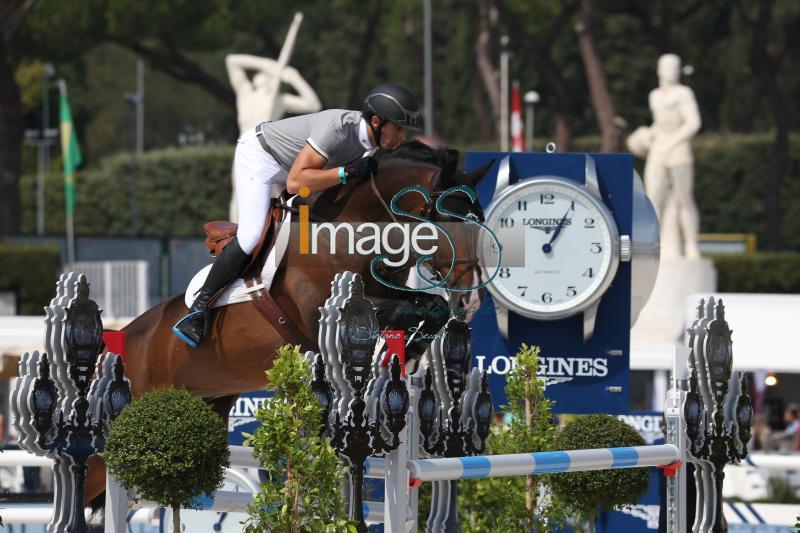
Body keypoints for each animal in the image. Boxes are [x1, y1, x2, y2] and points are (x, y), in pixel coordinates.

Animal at [84, 140, 490, 502]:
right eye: (448, 220)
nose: (471, 299)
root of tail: (120, 340)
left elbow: (430, 306)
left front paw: (413, 349)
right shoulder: (321, 317)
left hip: (208, 403)